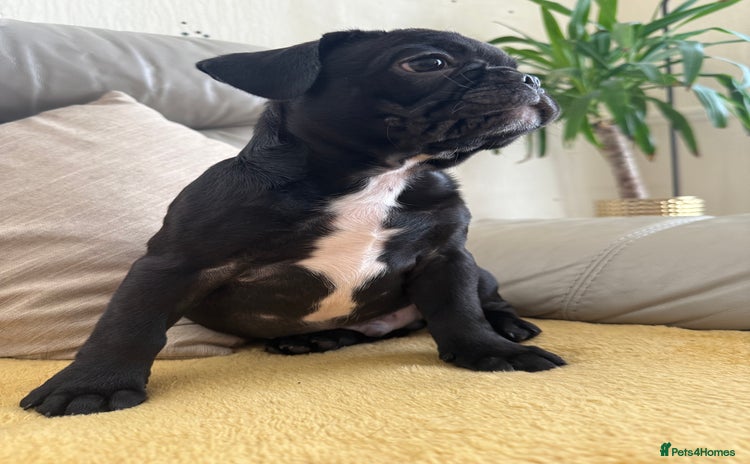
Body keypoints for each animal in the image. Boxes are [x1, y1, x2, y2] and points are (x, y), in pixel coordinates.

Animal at [21, 28, 563, 417]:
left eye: (516, 66)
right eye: (429, 63)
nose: (532, 79)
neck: (378, 177)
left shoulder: (447, 257)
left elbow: (460, 309)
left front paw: (490, 351)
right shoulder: (173, 265)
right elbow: (128, 324)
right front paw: (91, 387)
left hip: (480, 268)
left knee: (489, 296)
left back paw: (511, 327)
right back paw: (318, 338)